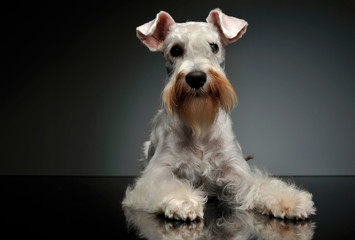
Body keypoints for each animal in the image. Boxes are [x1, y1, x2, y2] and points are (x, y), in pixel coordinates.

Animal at [123, 7, 318, 221]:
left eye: (214, 46)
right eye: (175, 50)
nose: (196, 78)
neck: (199, 127)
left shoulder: (238, 173)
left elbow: (262, 184)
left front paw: (290, 201)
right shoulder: (155, 175)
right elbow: (167, 185)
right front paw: (183, 201)